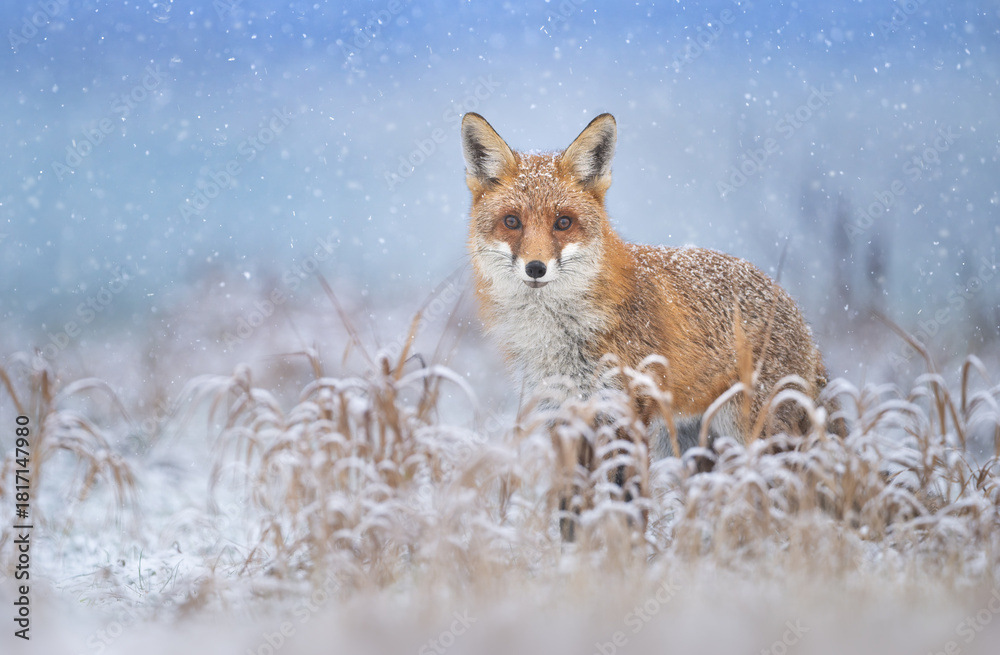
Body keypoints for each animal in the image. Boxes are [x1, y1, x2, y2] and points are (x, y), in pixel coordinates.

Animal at [461, 112, 831, 458]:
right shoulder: (560, 409)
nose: (535, 268)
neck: (559, 336)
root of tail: (799, 316)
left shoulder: (623, 407)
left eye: (563, 223)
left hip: (753, 431)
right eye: (512, 221)